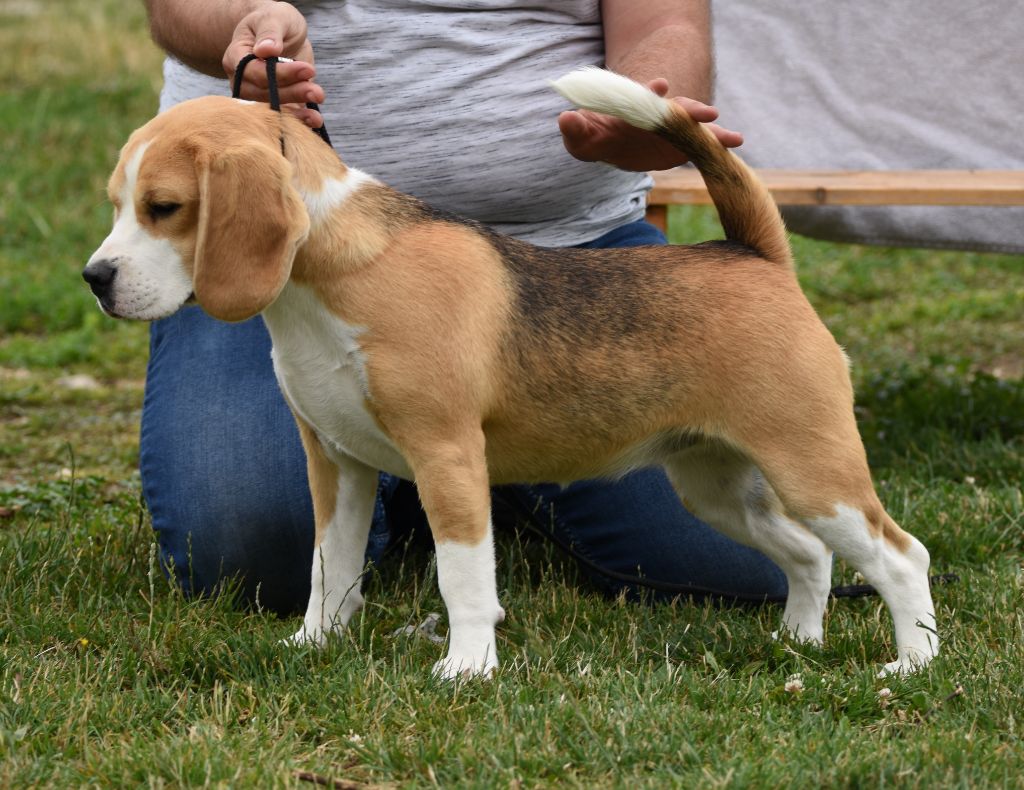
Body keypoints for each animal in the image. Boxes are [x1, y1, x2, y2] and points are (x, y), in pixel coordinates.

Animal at [83, 69, 937, 680]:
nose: (95, 277)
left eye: (165, 207)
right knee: (811, 555)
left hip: (811, 467)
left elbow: (463, 578)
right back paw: (798, 643)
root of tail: (752, 253)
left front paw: (466, 668)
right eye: (118, 204)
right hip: (717, 485)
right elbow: (331, 568)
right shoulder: (337, 463)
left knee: (901, 556)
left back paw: (913, 663)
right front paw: (313, 645)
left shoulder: (447, 456)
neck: (330, 274)